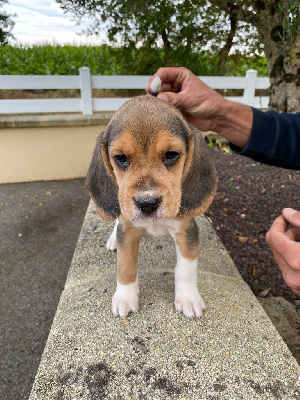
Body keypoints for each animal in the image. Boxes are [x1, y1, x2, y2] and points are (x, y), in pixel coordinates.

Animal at [85, 93, 217, 318]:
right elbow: (125, 265)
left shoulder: (187, 230)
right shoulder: (128, 231)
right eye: (120, 158)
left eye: (171, 154)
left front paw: (188, 299)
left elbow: (186, 269)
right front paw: (125, 297)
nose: (147, 203)